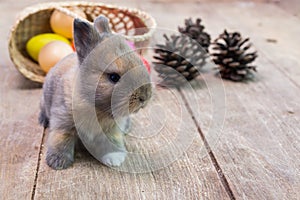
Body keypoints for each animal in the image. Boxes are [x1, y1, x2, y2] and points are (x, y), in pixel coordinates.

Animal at [39, 15, 152, 170]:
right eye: (114, 77)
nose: (145, 97)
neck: (96, 107)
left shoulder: (113, 130)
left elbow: (112, 141)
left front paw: (115, 159)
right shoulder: (62, 122)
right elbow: (61, 139)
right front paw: (58, 162)